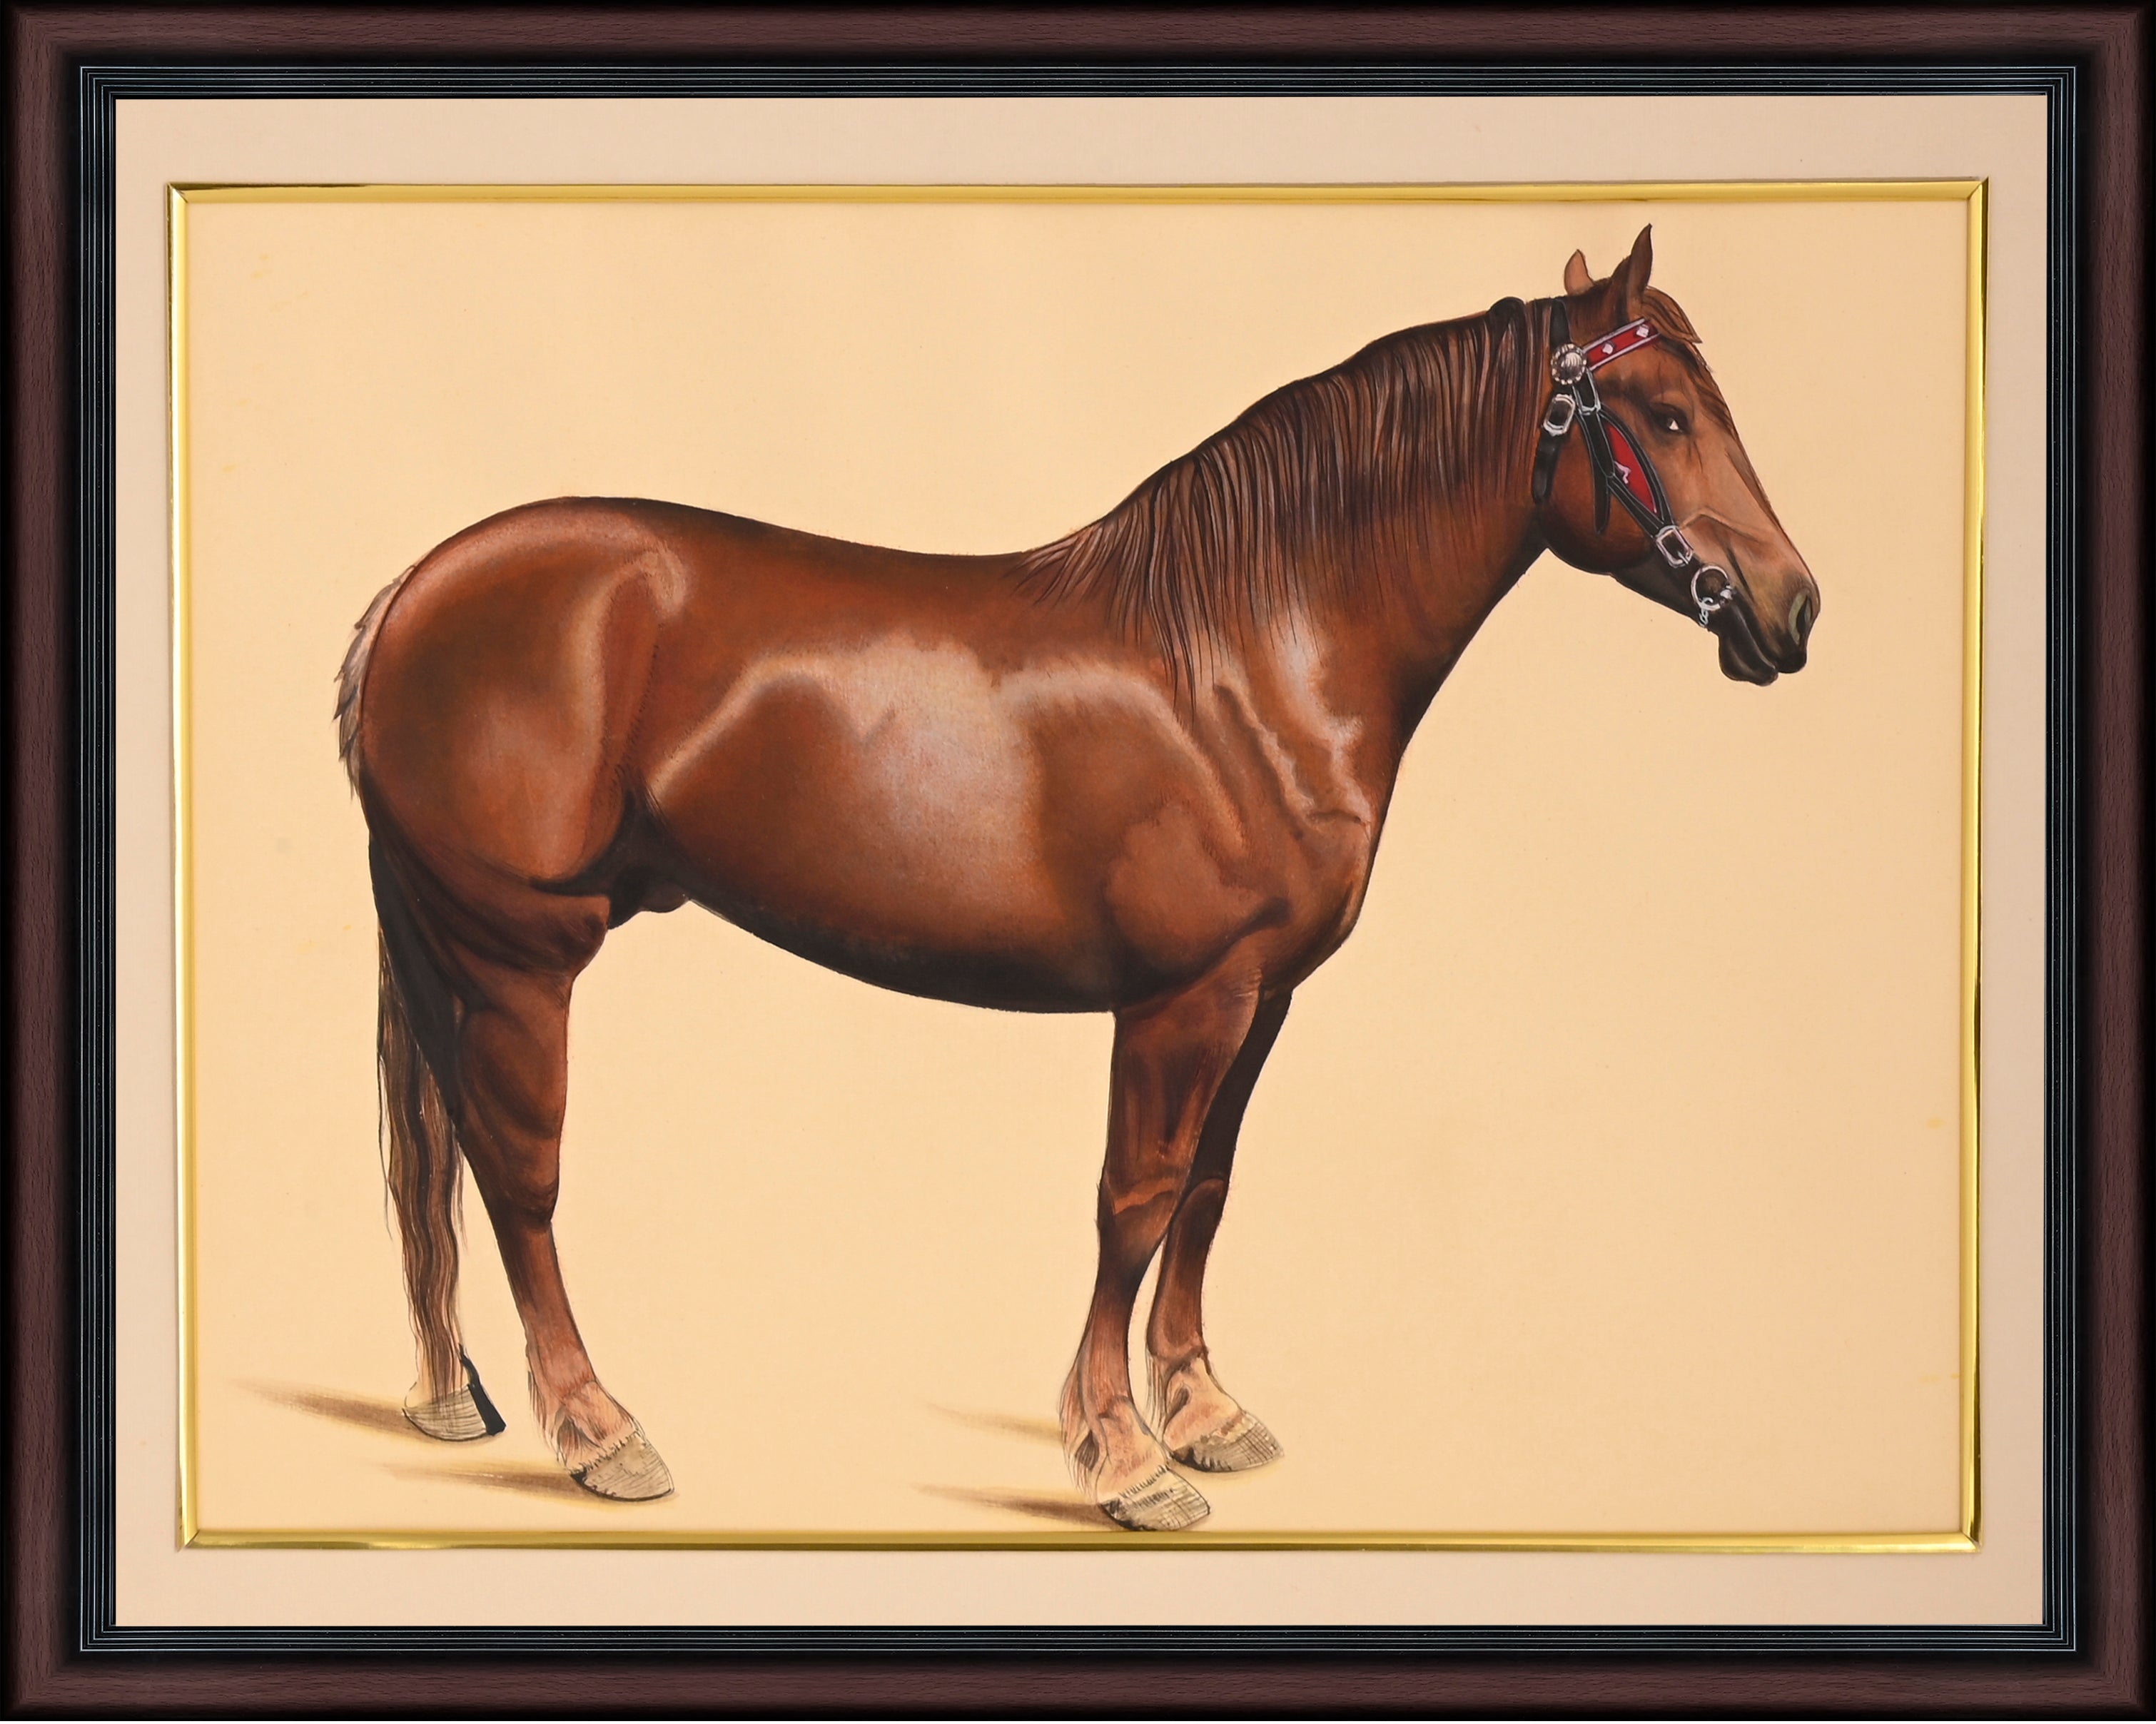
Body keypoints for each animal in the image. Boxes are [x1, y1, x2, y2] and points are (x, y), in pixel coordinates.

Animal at [335, 226, 1818, 1531]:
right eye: (1667, 416)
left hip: (450, 945)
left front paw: (1206, 1413)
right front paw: (1122, 1457)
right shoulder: (1181, 999)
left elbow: (1209, 1191)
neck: (1245, 660)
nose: (1792, 609)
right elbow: (1133, 1202)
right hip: (521, 956)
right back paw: (598, 1432)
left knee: (439, 1158)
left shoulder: (1262, 996)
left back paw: (454, 1399)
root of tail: (417, 590)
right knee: (516, 1173)